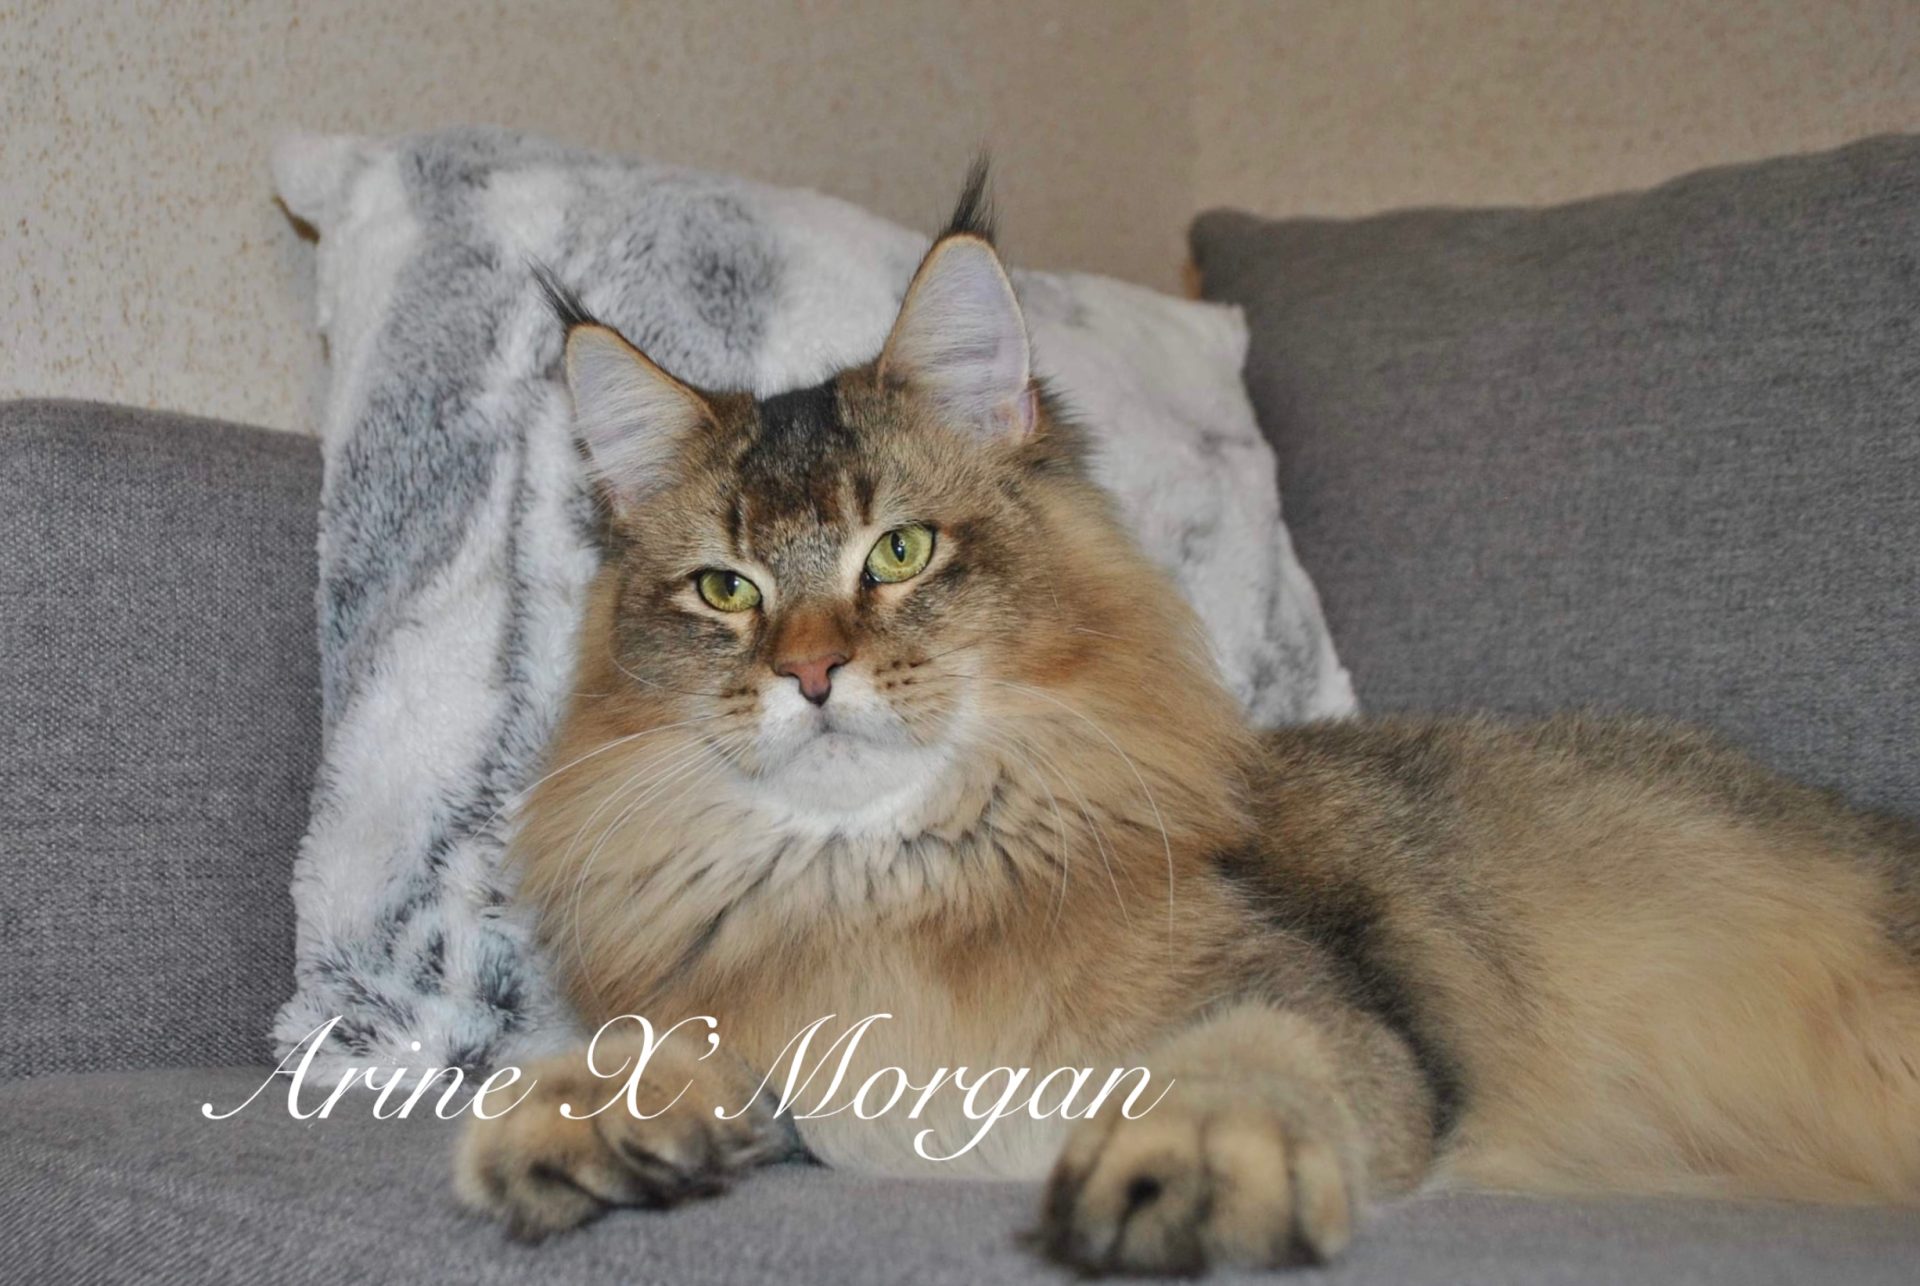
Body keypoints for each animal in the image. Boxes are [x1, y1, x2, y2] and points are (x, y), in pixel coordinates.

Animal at [455, 169, 1920, 1274]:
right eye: (727, 587)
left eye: (900, 551)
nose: (810, 672)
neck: (882, 881)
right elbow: (678, 1051)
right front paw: (580, 1116)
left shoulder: (1318, 1009)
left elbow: (1242, 1057)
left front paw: (1194, 1155)